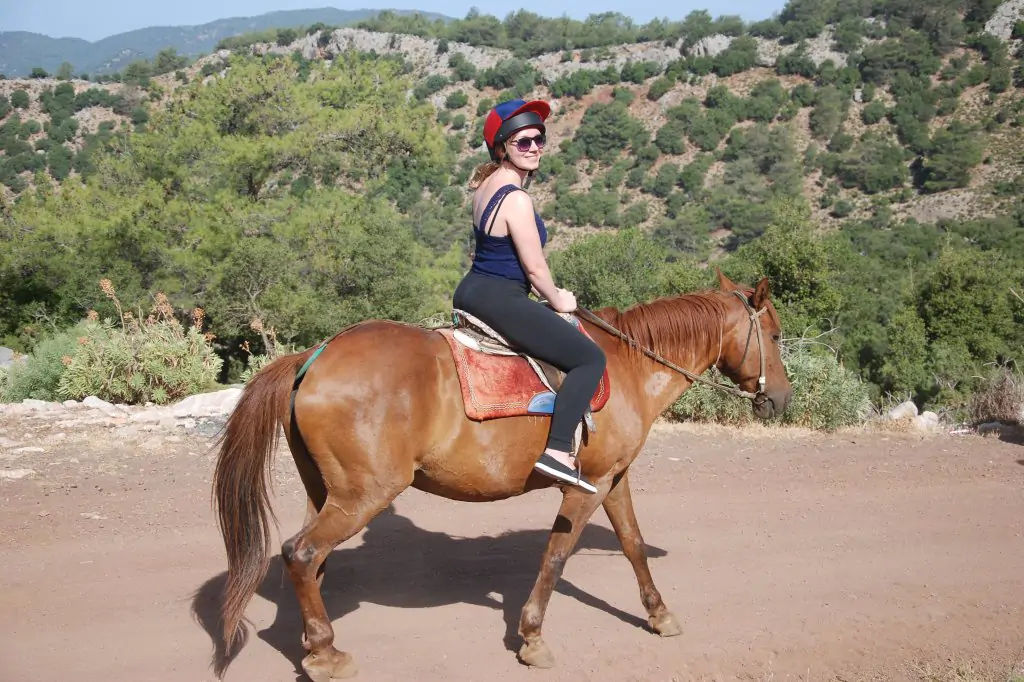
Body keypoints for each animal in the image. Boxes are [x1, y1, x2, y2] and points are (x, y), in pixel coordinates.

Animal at [211, 268, 794, 675]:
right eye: (776, 335)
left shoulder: (614, 478)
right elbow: (556, 557)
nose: (782, 399)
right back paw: (327, 655)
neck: (631, 366)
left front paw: (659, 614)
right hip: (363, 494)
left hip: (327, 492)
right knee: (302, 553)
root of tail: (312, 356)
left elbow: (632, 544)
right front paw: (532, 638)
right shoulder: (586, 488)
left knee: (309, 562)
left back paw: (314, 644)